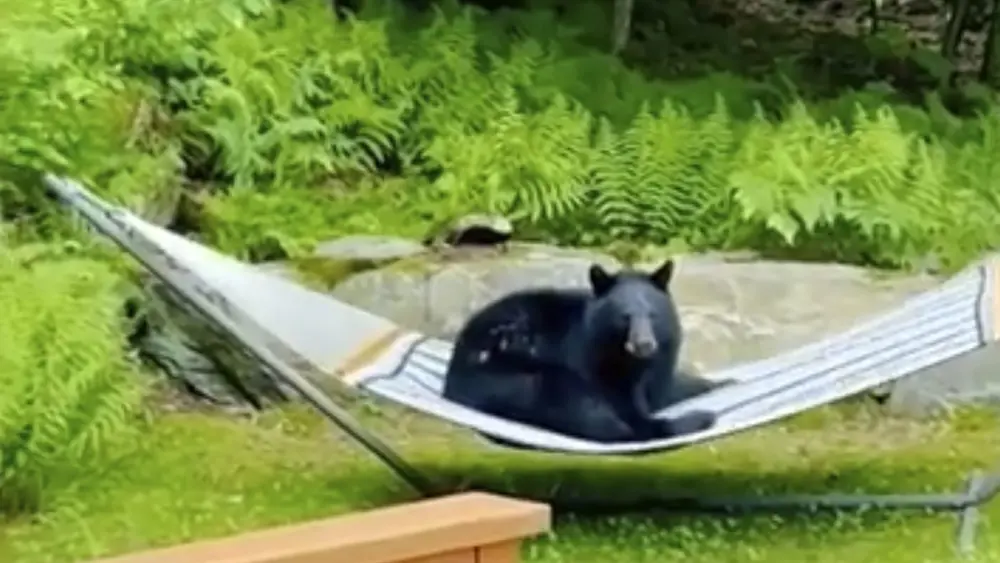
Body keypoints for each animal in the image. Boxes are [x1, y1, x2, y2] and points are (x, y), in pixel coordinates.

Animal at [440, 258, 723, 446]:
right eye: (625, 317)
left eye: (653, 315)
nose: (644, 344)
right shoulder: (592, 360)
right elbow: (624, 406)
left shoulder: (660, 364)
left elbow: (671, 387)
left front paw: (717, 383)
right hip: (516, 375)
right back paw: (699, 418)